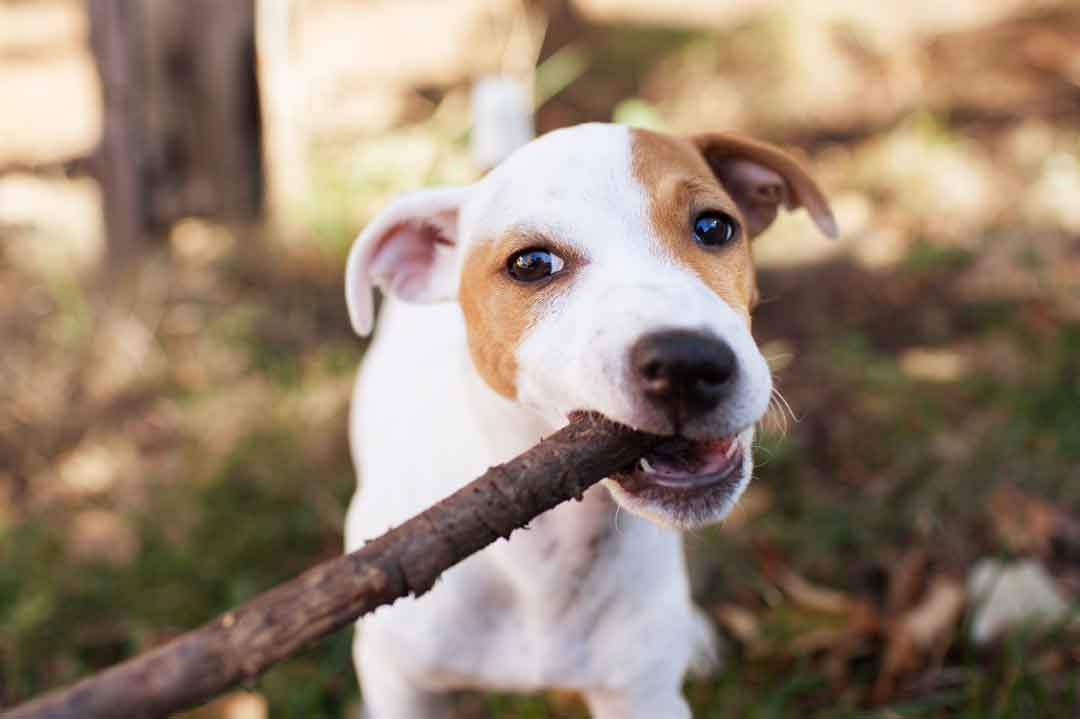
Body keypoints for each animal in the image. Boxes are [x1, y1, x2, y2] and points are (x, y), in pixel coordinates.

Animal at [343, 120, 833, 712]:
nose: (688, 362)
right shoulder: (400, 683)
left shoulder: (643, 698)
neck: (548, 556)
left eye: (714, 227)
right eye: (531, 264)